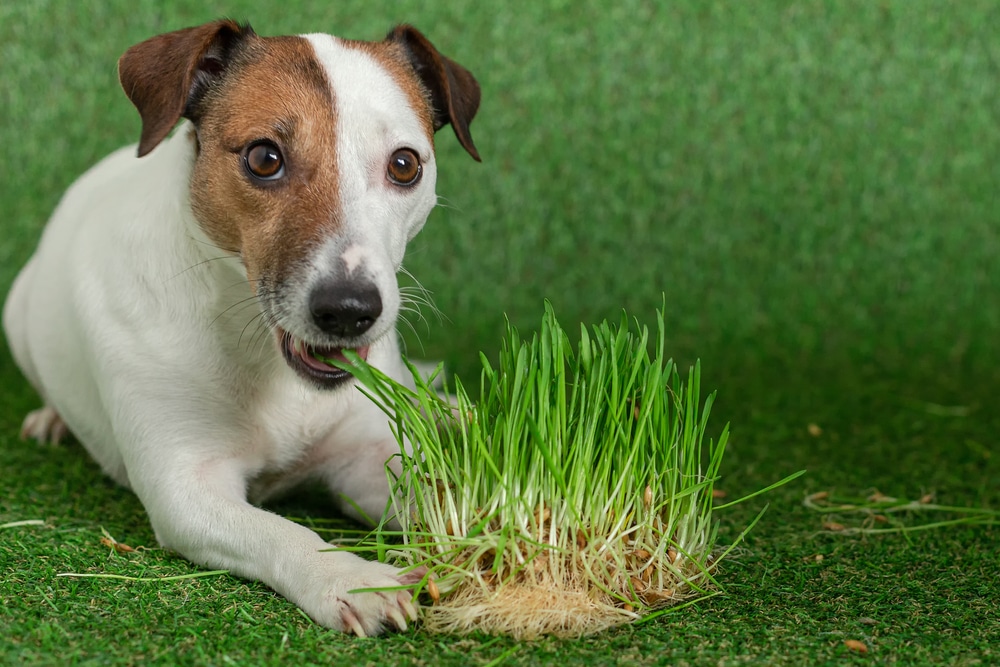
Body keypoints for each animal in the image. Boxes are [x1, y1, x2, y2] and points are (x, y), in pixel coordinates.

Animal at [2, 19, 480, 636]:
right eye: (263, 158)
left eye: (405, 165)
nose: (350, 310)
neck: (268, 367)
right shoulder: (188, 491)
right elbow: (284, 530)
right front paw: (352, 580)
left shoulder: (364, 459)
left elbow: (437, 497)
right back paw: (51, 418)